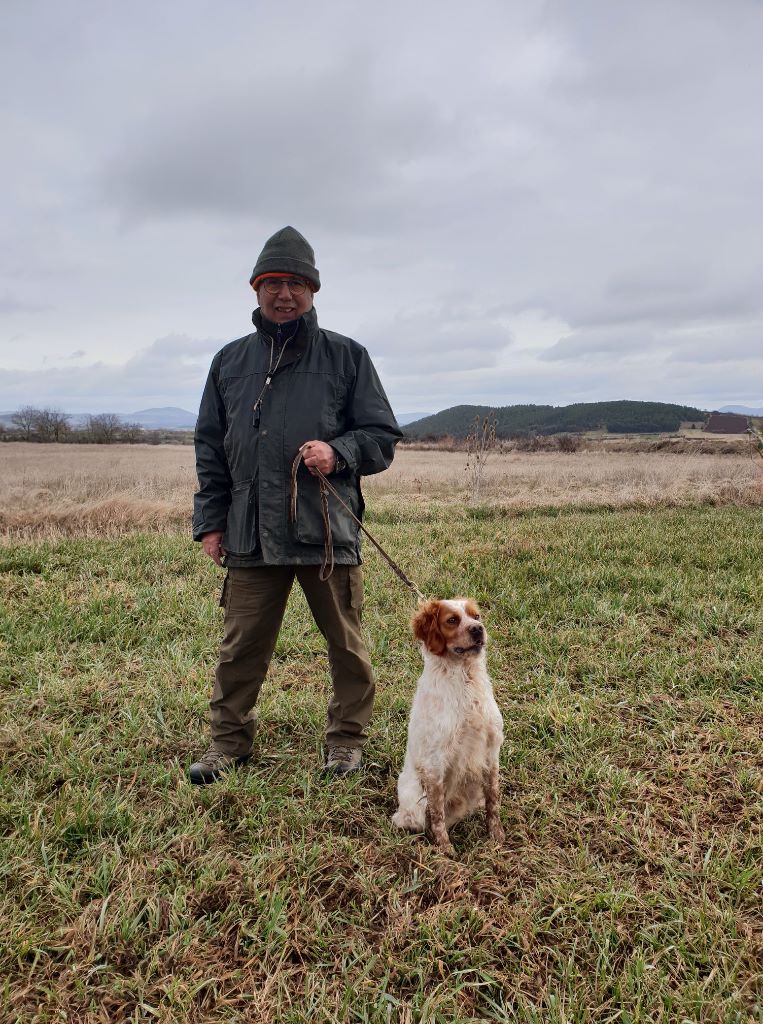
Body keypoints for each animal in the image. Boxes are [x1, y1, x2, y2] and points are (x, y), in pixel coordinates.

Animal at [393, 598, 505, 851]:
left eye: (476, 616)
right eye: (452, 620)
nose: (478, 629)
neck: (466, 678)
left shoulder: (491, 751)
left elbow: (493, 801)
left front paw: (496, 836)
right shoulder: (434, 762)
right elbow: (436, 815)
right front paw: (445, 850)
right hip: (414, 798)